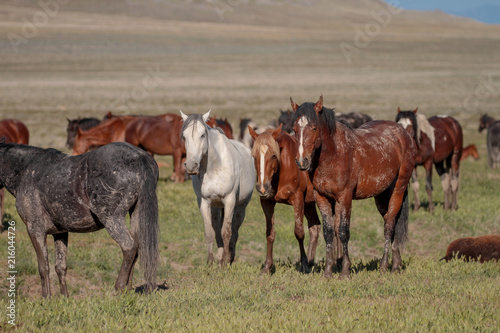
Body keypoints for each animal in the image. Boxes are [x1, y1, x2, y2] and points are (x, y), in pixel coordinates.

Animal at [0, 141, 158, 296]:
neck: (26, 170)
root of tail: (139, 156)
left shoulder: (35, 230)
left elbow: (43, 267)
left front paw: (46, 299)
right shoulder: (60, 233)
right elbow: (60, 266)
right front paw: (64, 298)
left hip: (112, 219)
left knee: (129, 247)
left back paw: (119, 288)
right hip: (135, 215)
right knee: (136, 247)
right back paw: (128, 289)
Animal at [180, 110, 256, 266]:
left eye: (202, 135)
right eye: (184, 136)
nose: (191, 166)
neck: (213, 167)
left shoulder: (229, 200)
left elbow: (227, 232)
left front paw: (227, 261)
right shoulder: (204, 202)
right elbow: (210, 232)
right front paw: (211, 262)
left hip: (241, 208)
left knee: (235, 231)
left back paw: (229, 258)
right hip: (215, 207)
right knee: (217, 230)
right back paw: (220, 259)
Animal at [249, 124, 322, 272]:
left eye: (273, 156)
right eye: (254, 156)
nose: (262, 188)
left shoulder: (298, 200)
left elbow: (299, 232)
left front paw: (303, 264)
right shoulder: (267, 202)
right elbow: (270, 233)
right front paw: (267, 267)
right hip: (309, 203)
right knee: (315, 228)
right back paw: (311, 262)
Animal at [292, 96, 416, 278]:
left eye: (314, 128)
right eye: (294, 129)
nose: (302, 161)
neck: (334, 154)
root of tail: (403, 133)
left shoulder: (345, 197)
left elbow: (343, 232)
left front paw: (345, 271)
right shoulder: (321, 197)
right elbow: (328, 233)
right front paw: (328, 272)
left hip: (398, 189)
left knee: (389, 225)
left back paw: (385, 265)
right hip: (381, 195)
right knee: (390, 221)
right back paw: (396, 264)